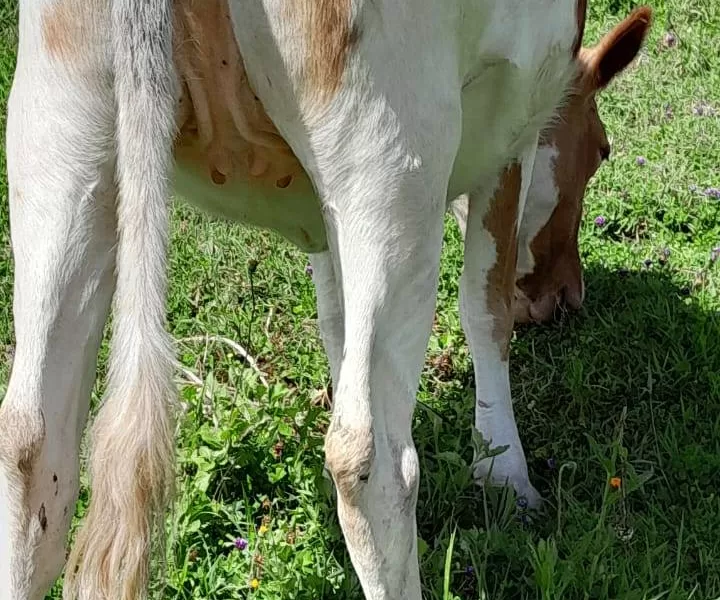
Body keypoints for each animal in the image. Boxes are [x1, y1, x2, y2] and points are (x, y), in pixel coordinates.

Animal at [0, 1, 652, 600]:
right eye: (601, 150)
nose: (565, 297)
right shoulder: (512, 137)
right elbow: (485, 308)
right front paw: (505, 476)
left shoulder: (322, 210)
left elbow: (337, 319)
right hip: (392, 156)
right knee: (370, 463)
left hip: (58, 139)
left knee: (31, 444)